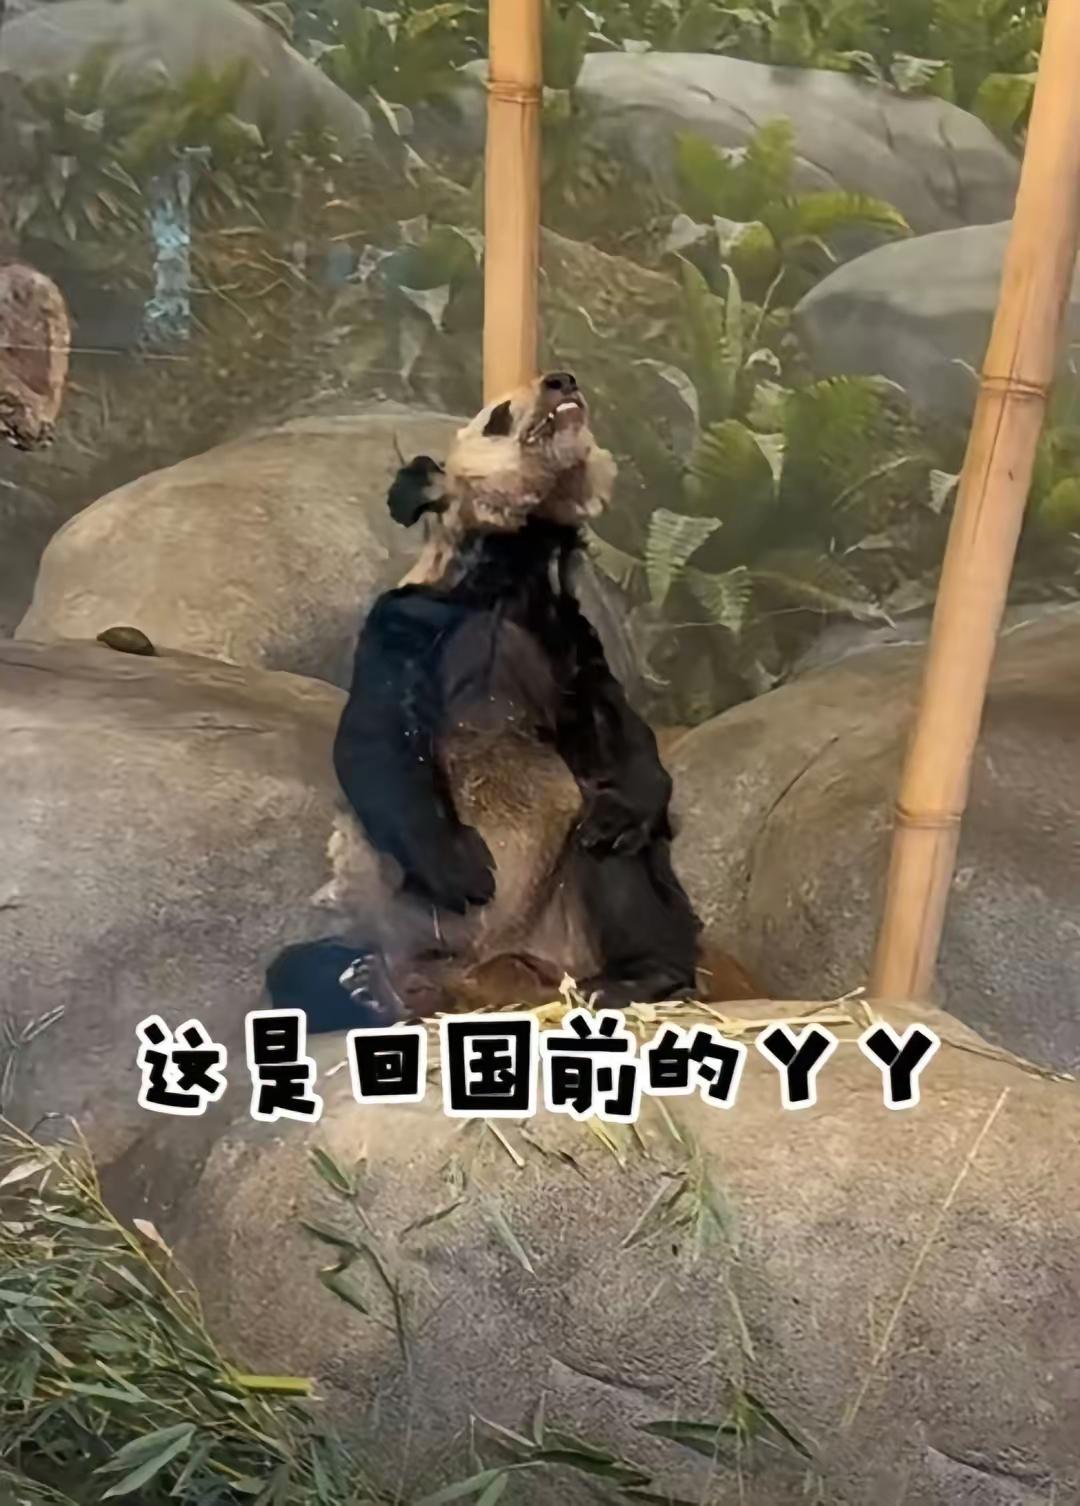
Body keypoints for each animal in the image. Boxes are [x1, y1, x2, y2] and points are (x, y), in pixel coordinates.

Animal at [267, 372, 759, 1030]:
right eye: (498, 414)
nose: (561, 380)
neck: (509, 572)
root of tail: (503, 966)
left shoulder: (565, 637)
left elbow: (618, 727)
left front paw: (632, 800)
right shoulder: (408, 623)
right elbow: (375, 741)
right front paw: (462, 868)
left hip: (572, 898)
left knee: (620, 865)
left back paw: (637, 974)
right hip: (405, 925)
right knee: (302, 969)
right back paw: (381, 992)